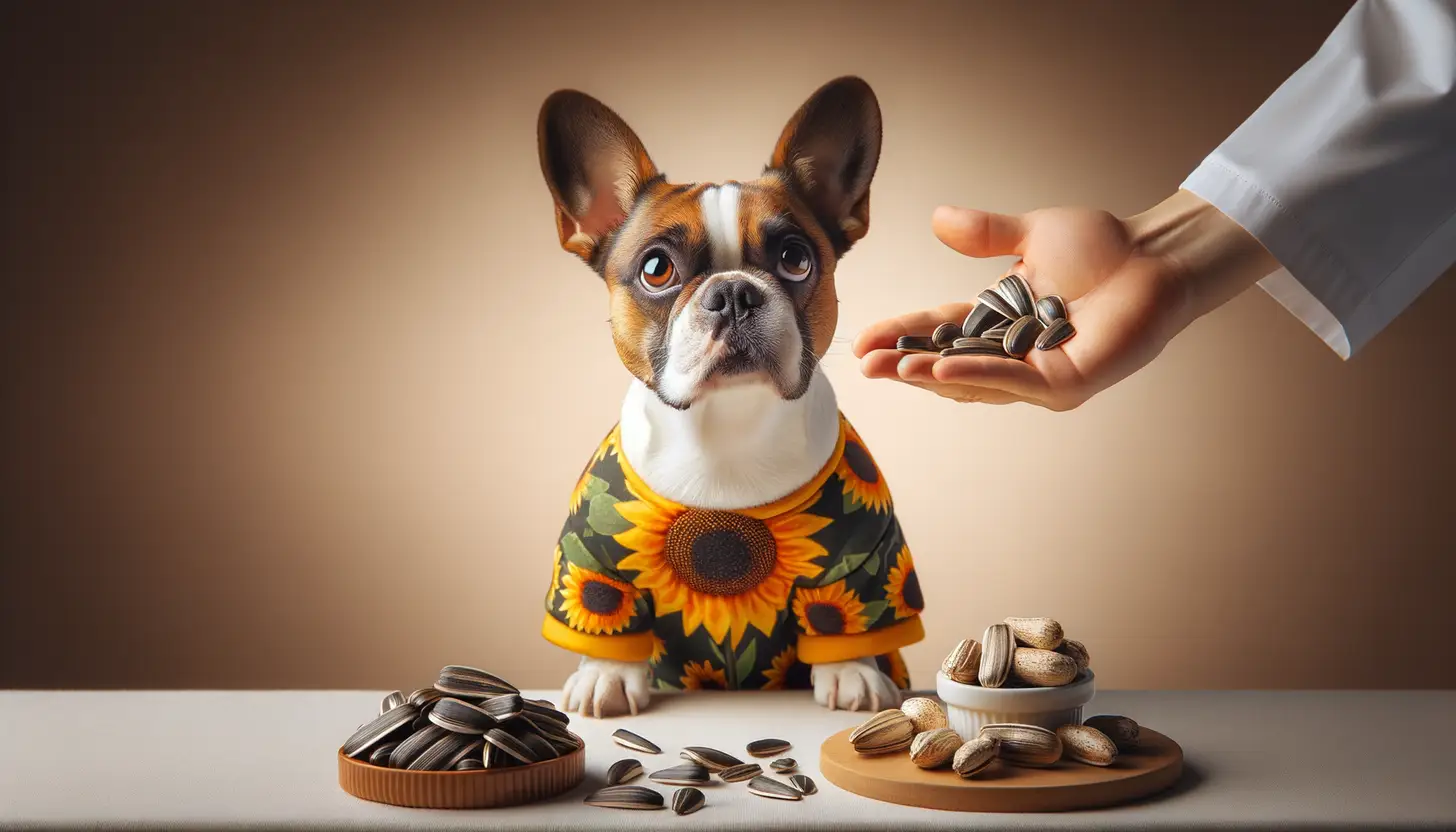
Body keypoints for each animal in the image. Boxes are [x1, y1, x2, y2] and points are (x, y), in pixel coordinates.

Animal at [541, 75, 926, 719]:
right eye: (656, 269)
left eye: (795, 258)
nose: (734, 294)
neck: (725, 424)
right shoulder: (594, 560)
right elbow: (605, 612)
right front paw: (605, 674)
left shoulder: (868, 559)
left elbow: (842, 618)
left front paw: (851, 672)